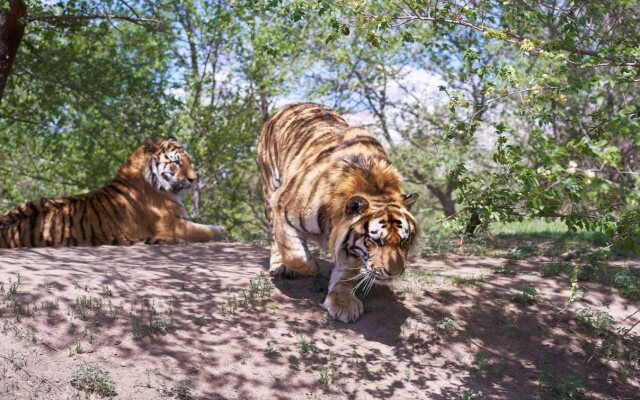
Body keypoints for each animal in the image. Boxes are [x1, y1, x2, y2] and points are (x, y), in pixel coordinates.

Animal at [0, 138, 225, 247]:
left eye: (188, 160)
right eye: (177, 162)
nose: (194, 179)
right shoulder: (175, 225)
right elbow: (208, 231)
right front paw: (222, 232)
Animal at [260, 102, 420, 322]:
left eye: (404, 241)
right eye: (376, 241)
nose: (394, 273)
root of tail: (291, 105)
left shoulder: (350, 245)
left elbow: (345, 274)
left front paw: (342, 303)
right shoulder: (283, 208)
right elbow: (295, 254)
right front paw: (312, 267)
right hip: (270, 188)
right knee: (276, 238)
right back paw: (280, 266)